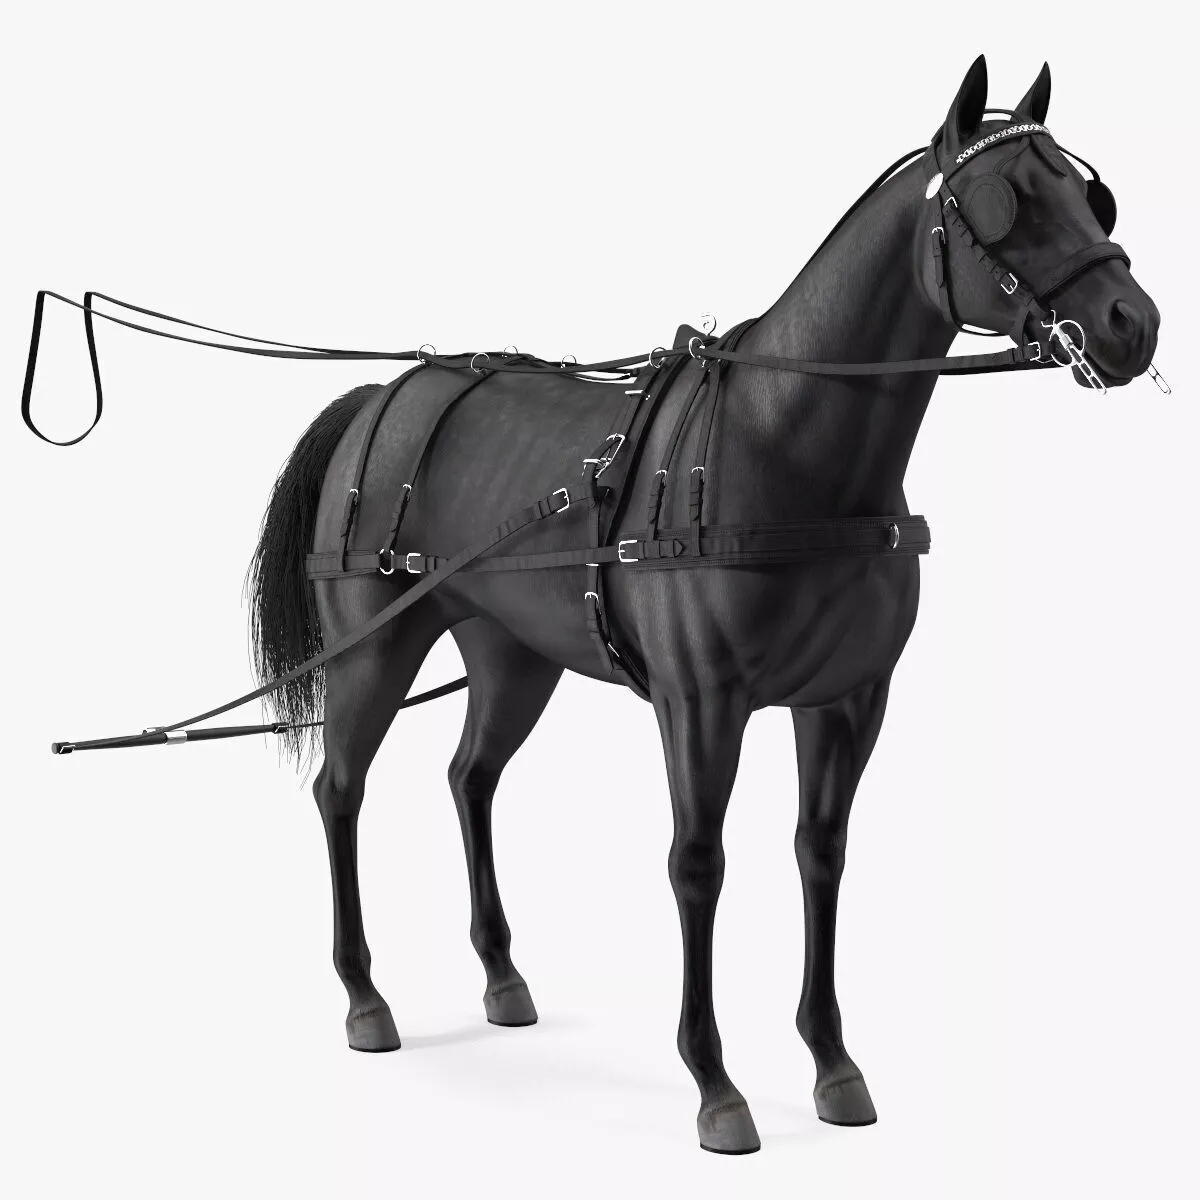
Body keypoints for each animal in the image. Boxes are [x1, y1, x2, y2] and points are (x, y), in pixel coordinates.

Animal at [234, 56, 1159, 1155]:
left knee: (470, 779)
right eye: (1003, 201)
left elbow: (821, 854)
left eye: (1089, 195)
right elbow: (699, 865)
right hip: (375, 647)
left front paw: (833, 1063)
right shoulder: (702, 702)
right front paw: (716, 1085)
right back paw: (365, 999)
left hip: (512, 655)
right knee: (341, 790)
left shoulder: (849, 700)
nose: (1134, 325)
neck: (786, 447)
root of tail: (384, 395)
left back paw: (503, 977)